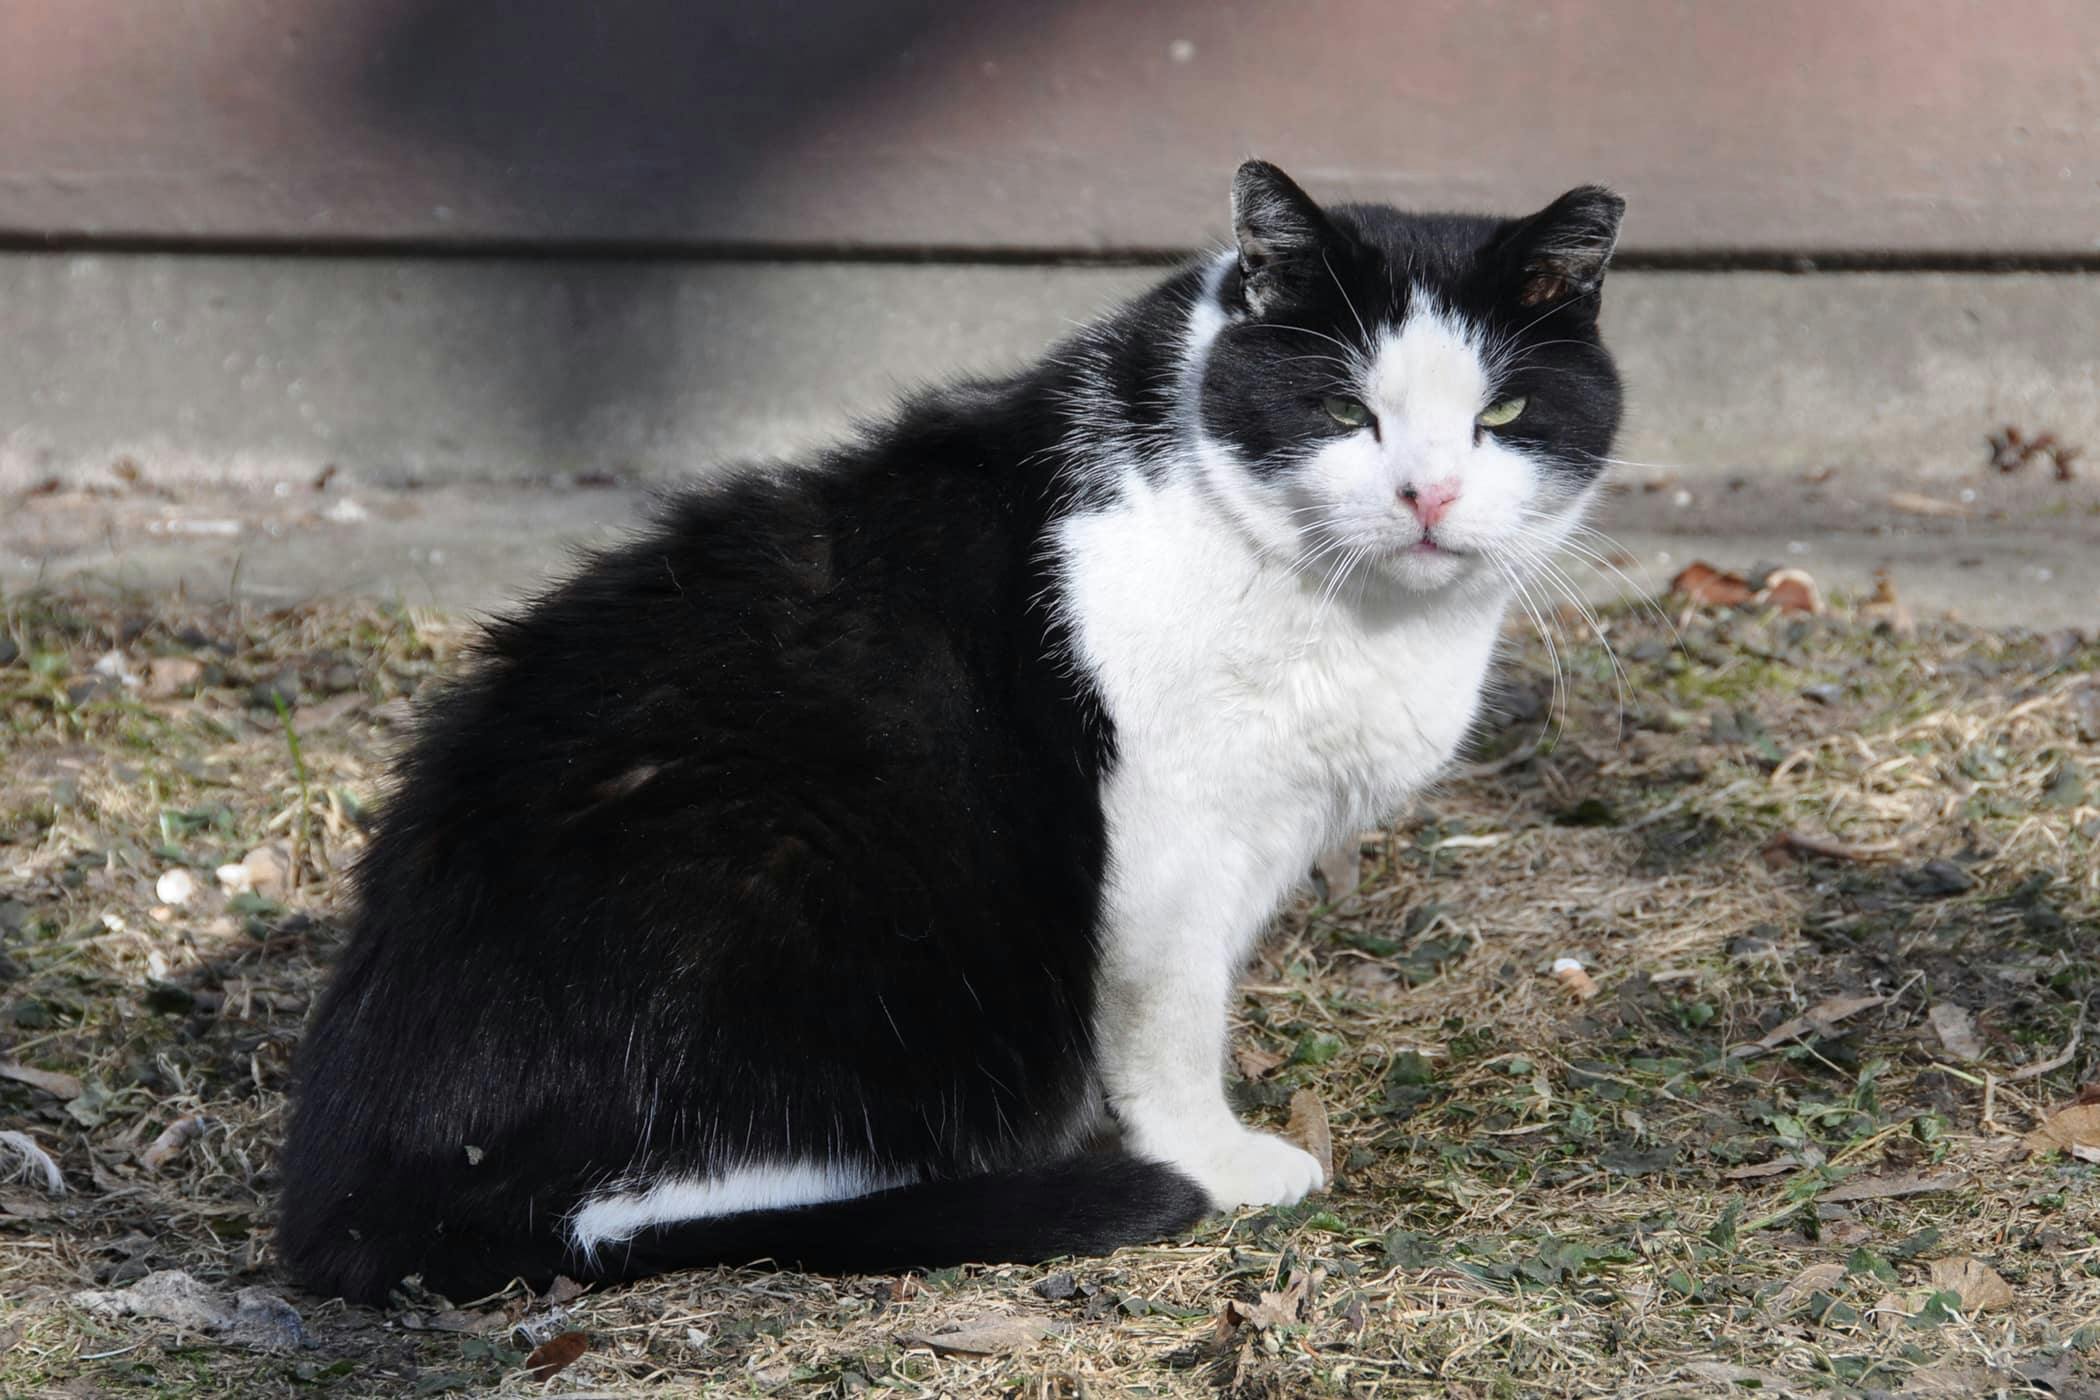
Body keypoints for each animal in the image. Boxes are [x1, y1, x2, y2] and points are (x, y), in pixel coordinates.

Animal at [279, 158, 1621, 1309]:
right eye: (1346, 409)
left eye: (1503, 411)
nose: (1429, 495)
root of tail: (351, 1186)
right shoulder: (1169, 838)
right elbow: (1167, 1013)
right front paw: (1215, 1159)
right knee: (624, 1211)